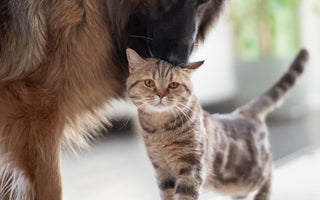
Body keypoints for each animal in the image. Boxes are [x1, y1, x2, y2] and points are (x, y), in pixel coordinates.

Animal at [124, 47, 308, 199]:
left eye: (173, 84)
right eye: (149, 82)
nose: (161, 95)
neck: (160, 129)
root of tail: (244, 112)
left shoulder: (191, 167)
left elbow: (185, 195)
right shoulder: (161, 170)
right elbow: (167, 194)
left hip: (250, 175)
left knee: (270, 165)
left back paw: (262, 194)